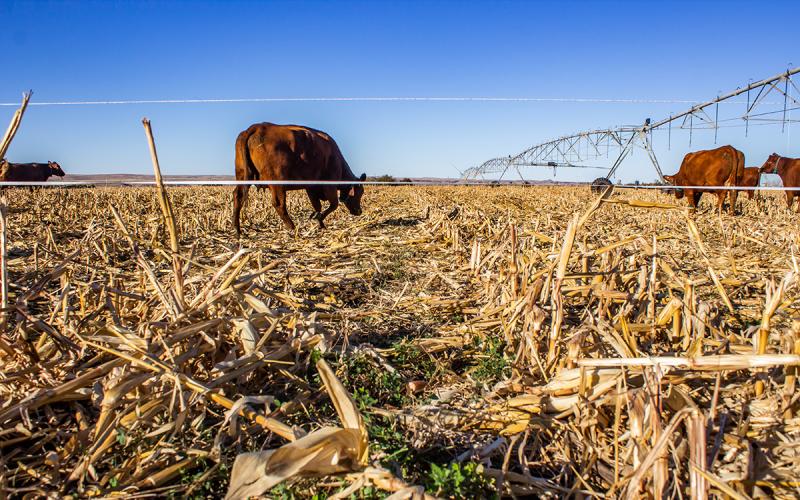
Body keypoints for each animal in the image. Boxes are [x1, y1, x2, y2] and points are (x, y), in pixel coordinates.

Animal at [232, 123, 366, 235]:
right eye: (359, 192)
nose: (359, 211)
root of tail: (258, 126)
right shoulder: (329, 186)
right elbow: (334, 205)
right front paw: (319, 219)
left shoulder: (311, 188)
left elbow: (317, 206)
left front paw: (319, 223)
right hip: (277, 183)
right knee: (279, 204)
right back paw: (292, 227)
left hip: (242, 175)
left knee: (238, 196)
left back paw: (237, 230)